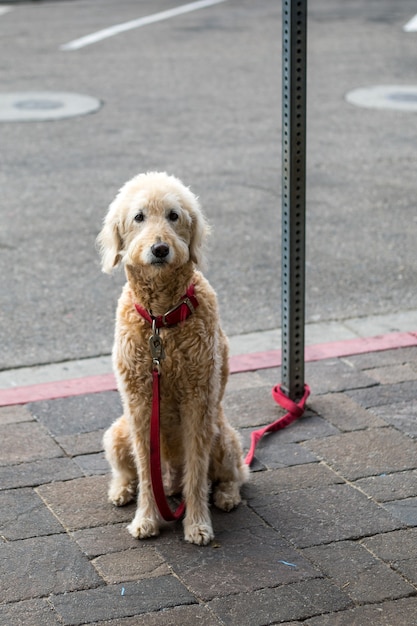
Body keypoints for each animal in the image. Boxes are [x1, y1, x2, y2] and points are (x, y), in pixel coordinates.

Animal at [96, 171, 247, 540]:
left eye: (173, 215)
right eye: (139, 217)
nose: (160, 248)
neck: (161, 321)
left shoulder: (198, 403)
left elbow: (197, 473)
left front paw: (197, 524)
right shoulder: (139, 407)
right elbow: (145, 473)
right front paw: (146, 519)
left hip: (223, 437)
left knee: (234, 474)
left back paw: (225, 496)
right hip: (117, 434)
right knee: (130, 472)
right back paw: (122, 490)